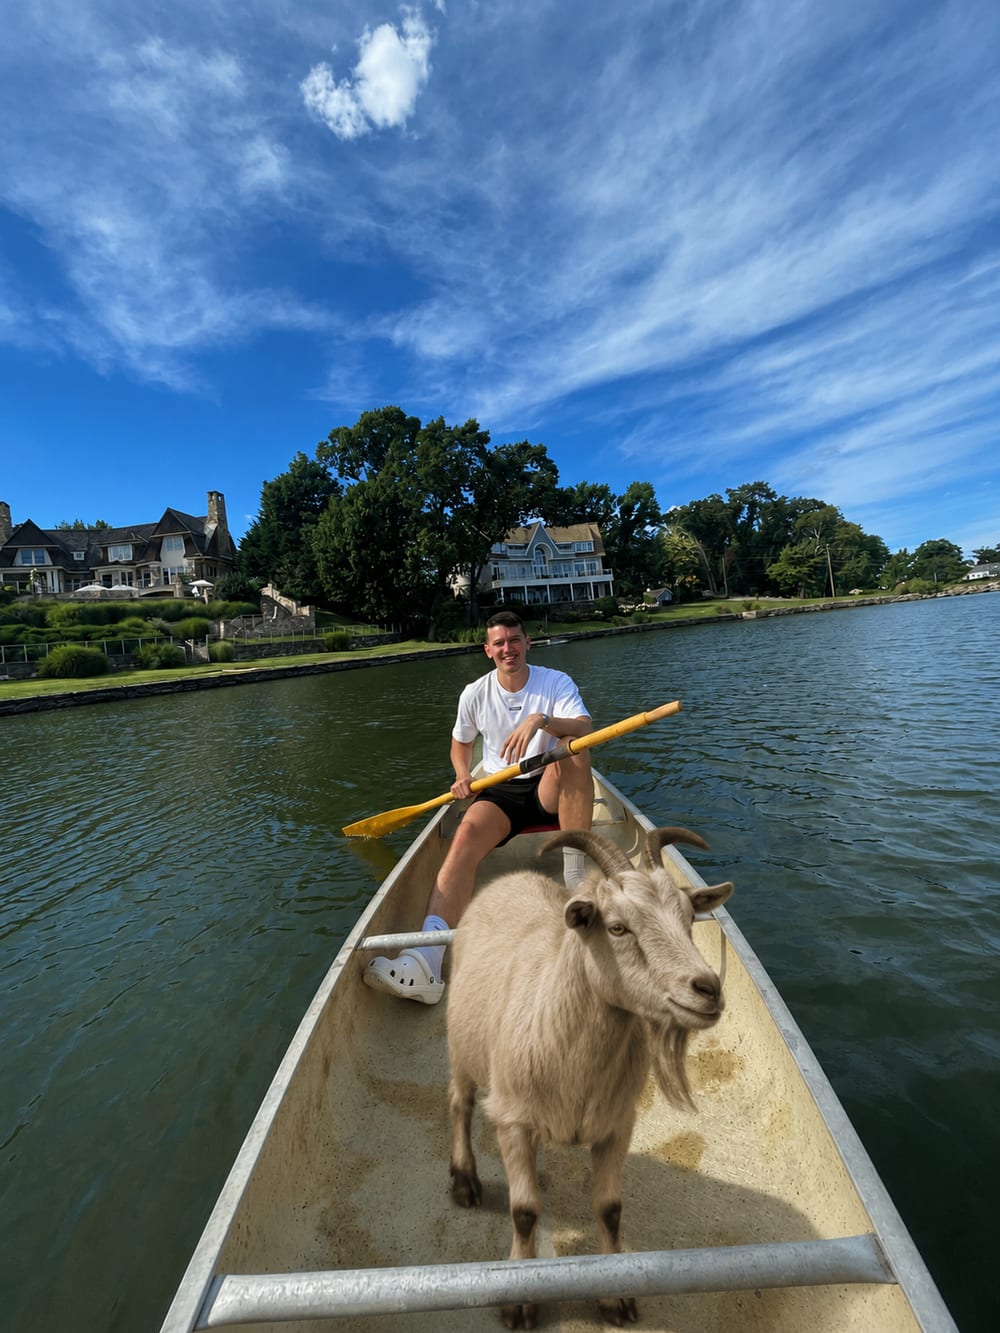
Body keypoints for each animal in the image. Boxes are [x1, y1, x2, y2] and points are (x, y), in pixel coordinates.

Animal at [446, 827, 733, 1330]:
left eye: (688, 920)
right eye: (617, 927)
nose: (708, 989)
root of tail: (512, 878)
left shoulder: (617, 1124)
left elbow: (610, 1209)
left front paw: (615, 1296)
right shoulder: (514, 1120)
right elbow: (524, 1211)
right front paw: (519, 1301)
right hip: (462, 1047)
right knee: (459, 1103)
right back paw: (465, 1182)